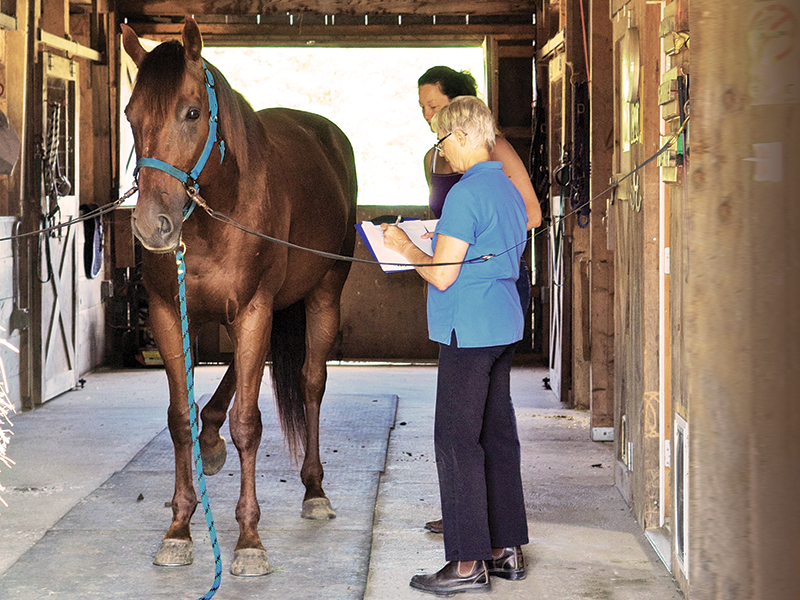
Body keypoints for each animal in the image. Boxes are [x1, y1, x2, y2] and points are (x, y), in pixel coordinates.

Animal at [119, 16, 356, 576]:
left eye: (192, 112)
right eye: (130, 116)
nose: (152, 226)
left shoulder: (253, 311)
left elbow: (249, 423)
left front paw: (249, 539)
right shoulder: (170, 315)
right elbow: (179, 419)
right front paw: (179, 528)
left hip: (322, 294)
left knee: (311, 382)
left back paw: (314, 490)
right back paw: (211, 438)